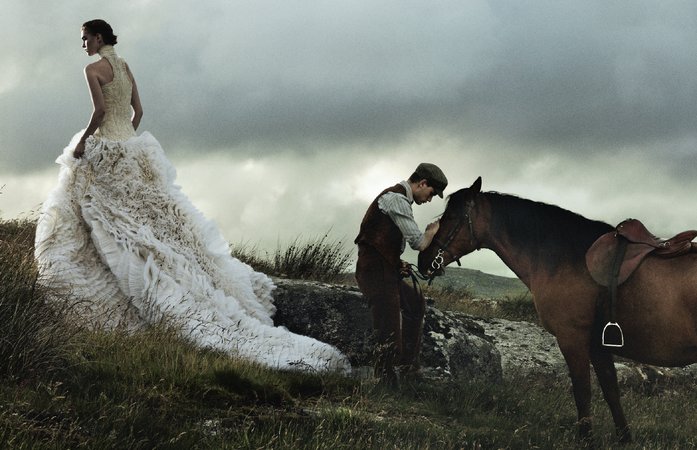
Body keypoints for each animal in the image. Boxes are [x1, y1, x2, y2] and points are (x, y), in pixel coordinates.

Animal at [416, 176, 696, 442]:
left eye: (451, 217)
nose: (423, 259)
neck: (565, 257)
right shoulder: (597, 344)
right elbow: (610, 390)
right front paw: (624, 438)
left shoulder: (572, 338)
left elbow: (582, 391)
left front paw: (586, 437)